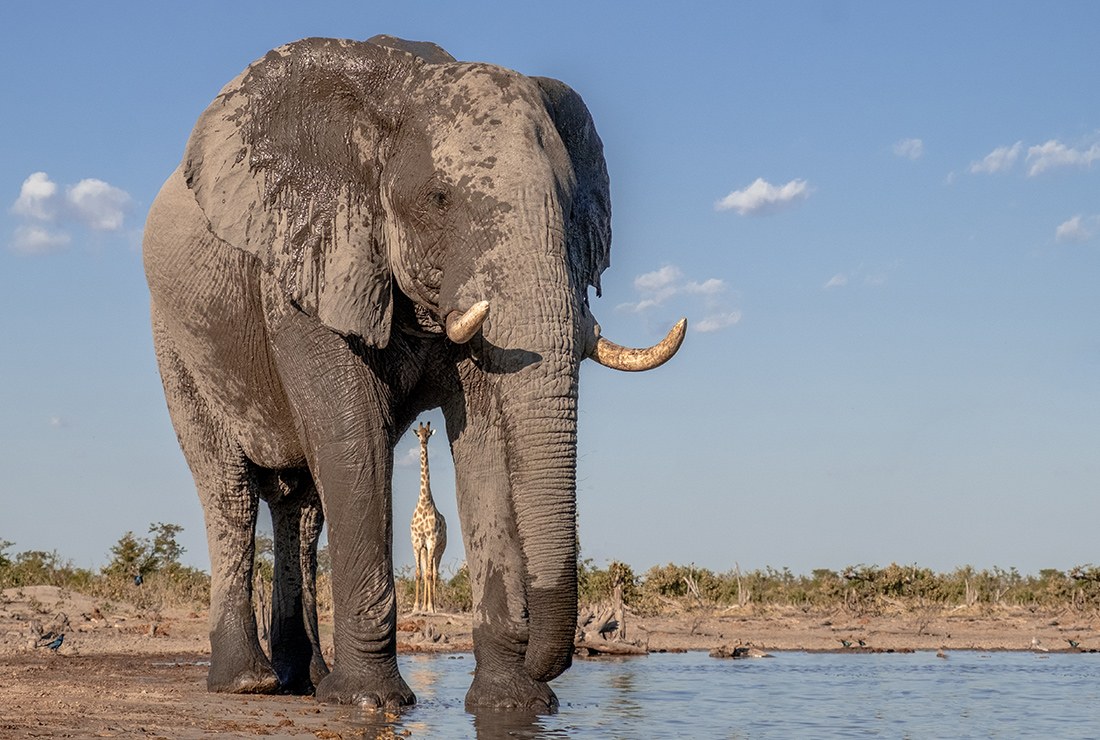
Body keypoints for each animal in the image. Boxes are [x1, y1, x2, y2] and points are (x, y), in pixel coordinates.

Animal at [142, 34, 685, 710]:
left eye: (567, 208)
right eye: (440, 201)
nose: (548, 660)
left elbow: (486, 439)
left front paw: (512, 704)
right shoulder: (304, 271)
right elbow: (353, 440)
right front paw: (370, 702)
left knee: (303, 510)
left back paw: (305, 682)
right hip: (175, 342)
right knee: (232, 494)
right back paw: (250, 683)